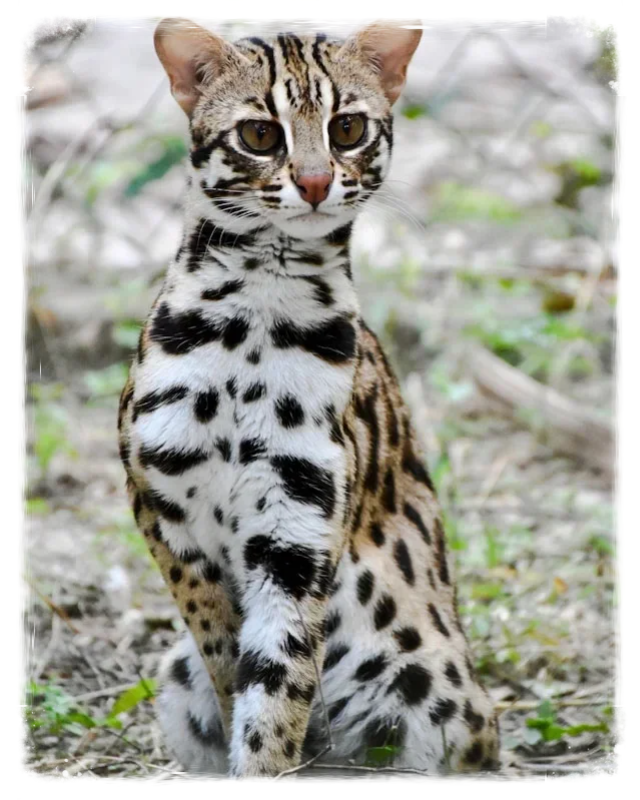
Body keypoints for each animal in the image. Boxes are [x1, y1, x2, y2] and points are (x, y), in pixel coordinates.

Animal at [117, 17, 500, 777]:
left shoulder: (299, 522)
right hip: (173, 680)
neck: (253, 313)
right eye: (259, 134)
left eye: (348, 128)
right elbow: (226, 653)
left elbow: (279, 681)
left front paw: (265, 759)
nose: (318, 181)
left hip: (442, 690)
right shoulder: (162, 506)